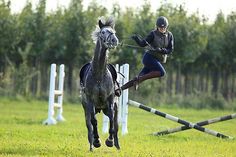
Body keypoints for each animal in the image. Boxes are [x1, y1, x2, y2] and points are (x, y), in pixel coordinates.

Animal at [79, 16, 120, 151]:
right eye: (103, 32)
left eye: (113, 31)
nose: (114, 40)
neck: (99, 75)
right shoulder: (90, 101)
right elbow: (94, 121)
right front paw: (97, 141)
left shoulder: (110, 100)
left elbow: (112, 120)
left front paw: (110, 141)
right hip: (87, 108)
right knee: (89, 125)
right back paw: (92, 145)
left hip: (109, 108)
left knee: (115, 124)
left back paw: (117, 145)